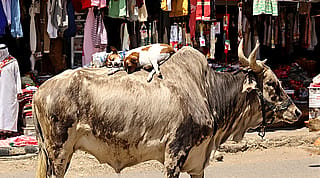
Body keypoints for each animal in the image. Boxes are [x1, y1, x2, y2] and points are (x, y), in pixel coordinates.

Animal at [33, 39, 302, 178]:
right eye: (272, 84)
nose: (297, 112)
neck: (208, 92)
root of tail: (40, 90)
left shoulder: (197, 163)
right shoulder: (175, 154)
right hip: (58, 153)